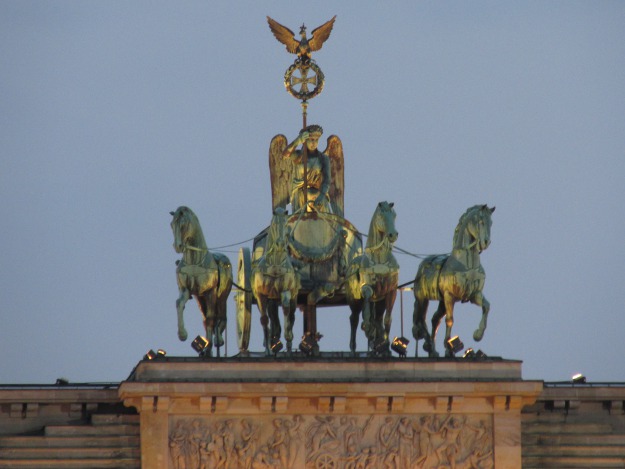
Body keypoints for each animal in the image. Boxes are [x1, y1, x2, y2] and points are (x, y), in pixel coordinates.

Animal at [168, 207, 232, 356]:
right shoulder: (186, 290)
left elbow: (210, 318)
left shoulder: (210, 292)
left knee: (220, 317)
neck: (195, 260)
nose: (177, 246)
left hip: (221, 296)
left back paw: (218, 340)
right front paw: (182, 334)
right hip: (200, 298)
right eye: (172, 225)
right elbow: (179, 303)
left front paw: (208, 347)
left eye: (183, 225)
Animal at [250, 207, 302, 354]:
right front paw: (268, 348)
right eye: (274, 225)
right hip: (271, 300)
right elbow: (264, 320)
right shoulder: (261, 296)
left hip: (293, 297)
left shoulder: (286, 292)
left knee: (291, 316)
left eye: (286, 225)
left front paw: (288, 341)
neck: (275, 264)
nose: (280, 244)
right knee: (272, 319)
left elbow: (286, 313)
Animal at [344, 200, 398, 354]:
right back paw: (353, 348)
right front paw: (367, 327)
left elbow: (387, 320)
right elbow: (367, 311)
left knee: (378, 319)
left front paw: (385, 346)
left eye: (394, 215)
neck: (380, 259)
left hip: (379, 303)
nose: (392, 235)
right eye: (381, 216)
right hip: (354, 301)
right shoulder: (366, 288)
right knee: (354, 319)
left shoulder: (391, 292)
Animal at [412, 203, 494, 356]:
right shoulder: (450, 295)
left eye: (491, 222)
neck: (467, 264)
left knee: (434, 319)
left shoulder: (474, 295)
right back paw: (428, 343)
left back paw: (432, 349)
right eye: (481, 222)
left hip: (441, 302)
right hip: (422, 299)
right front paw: (448, 346)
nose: (486, 242)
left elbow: (486, 306)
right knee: (420, 318)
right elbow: (450, 320)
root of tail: (423, 264)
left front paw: (478, 334)